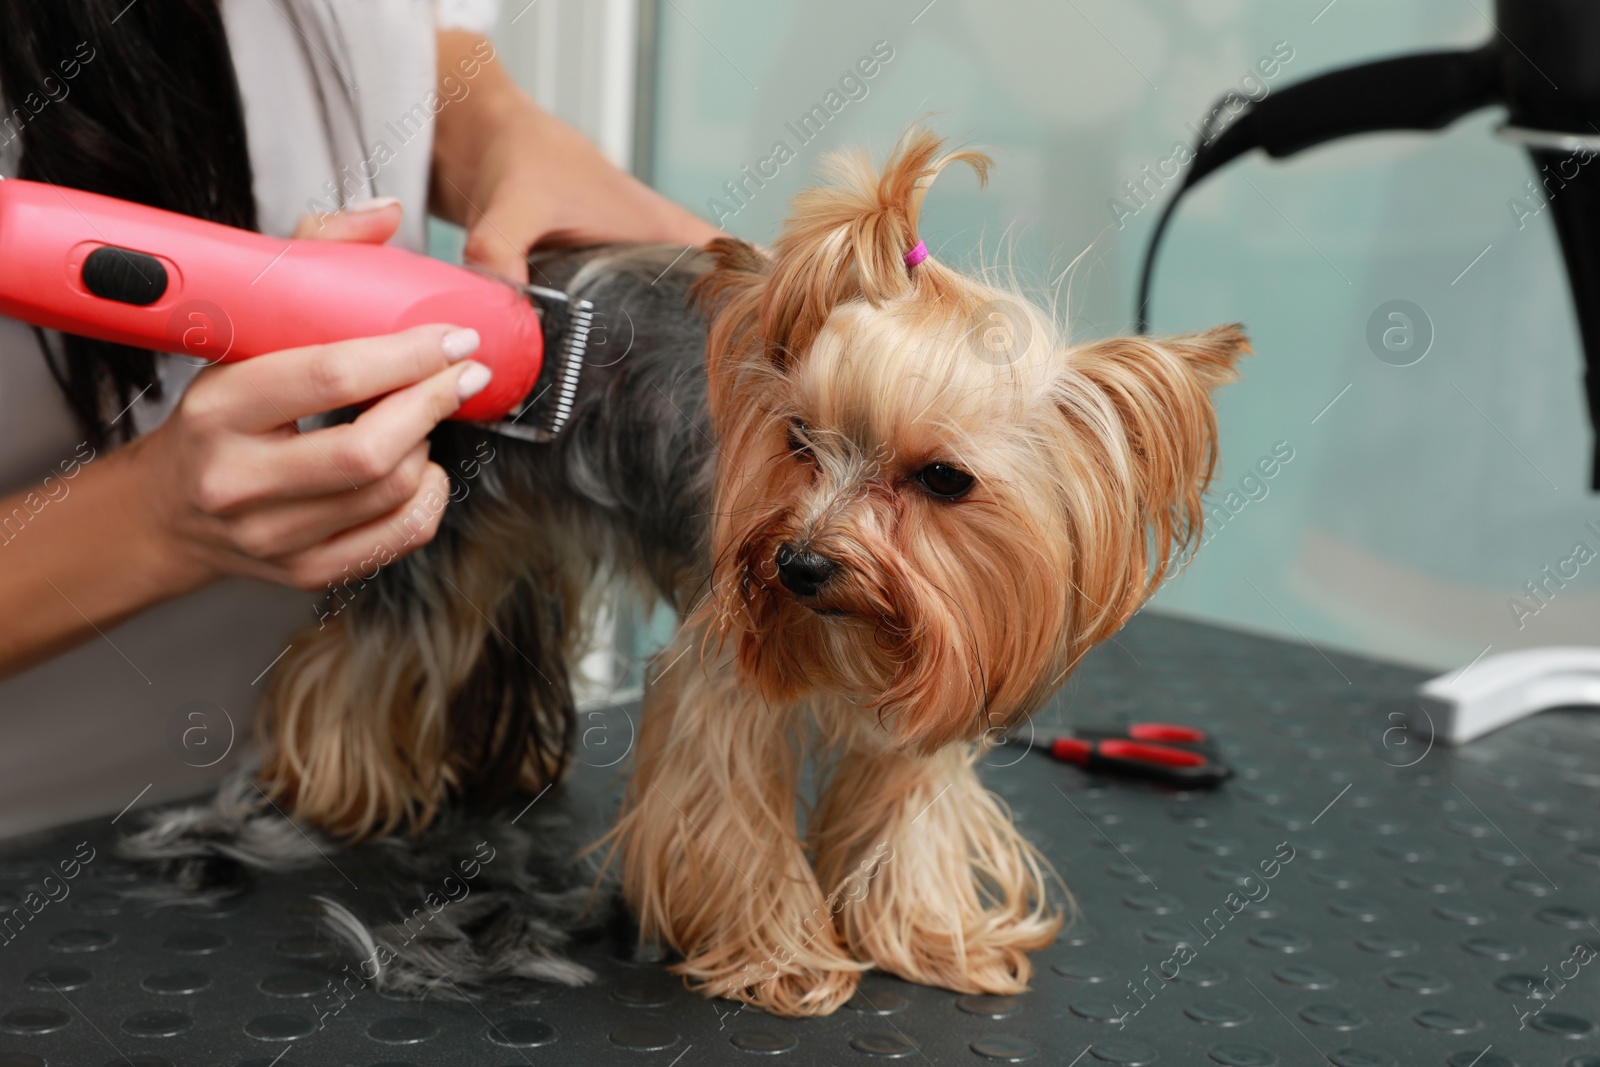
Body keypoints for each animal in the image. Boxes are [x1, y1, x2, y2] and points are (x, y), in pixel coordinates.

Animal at [249, 127, 1248, 1017]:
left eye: (943, 478)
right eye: (800, 439)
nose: (800, 564)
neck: (856, 630)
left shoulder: (943, 667)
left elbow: (903, 815)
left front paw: (928, 936)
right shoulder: (724, 673)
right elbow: (730, 807)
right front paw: (783, 958)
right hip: (439, 521)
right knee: (364, 652)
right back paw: (335, 787)